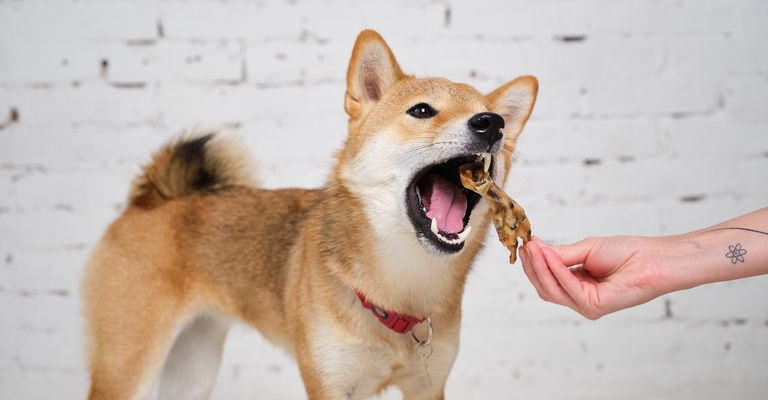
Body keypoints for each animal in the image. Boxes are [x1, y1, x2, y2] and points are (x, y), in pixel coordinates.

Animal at [84, 29, 536, 398]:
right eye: (423, 111)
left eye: (493, 119)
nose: (492, 123)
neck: (400, 285)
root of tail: (150, 200)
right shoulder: (329, 383)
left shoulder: (428, 386)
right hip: (127, 365)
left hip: (194, 363)